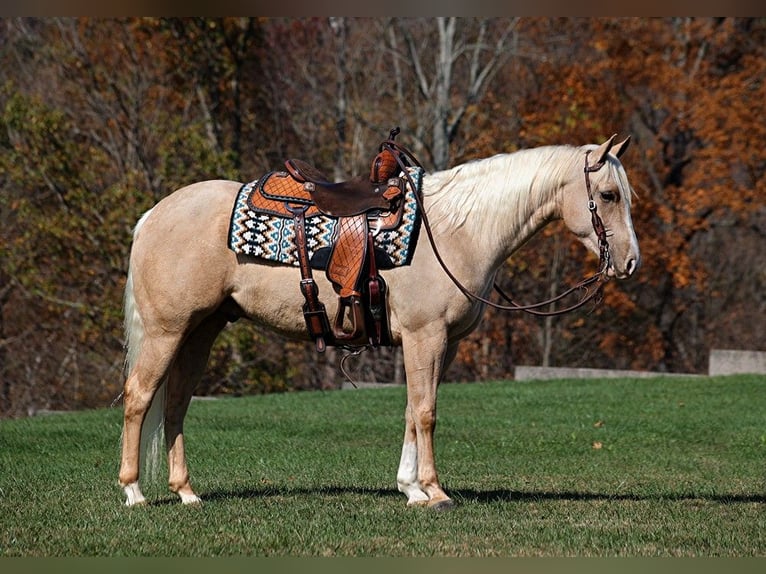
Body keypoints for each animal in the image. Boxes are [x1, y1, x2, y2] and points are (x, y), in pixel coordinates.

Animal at [118, 134, 640, 508]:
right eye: (608, 195)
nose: (630, 262)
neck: (456, 231)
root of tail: (151, 215)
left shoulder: (440, 343)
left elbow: (412, 409)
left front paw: (411, 488)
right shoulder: (425, 336)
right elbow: (426, 412)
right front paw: (435, 491)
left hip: (200, 331)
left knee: (175, 404)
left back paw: (186, 492)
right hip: (168, 330)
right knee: (140, 396)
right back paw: (134, 492)